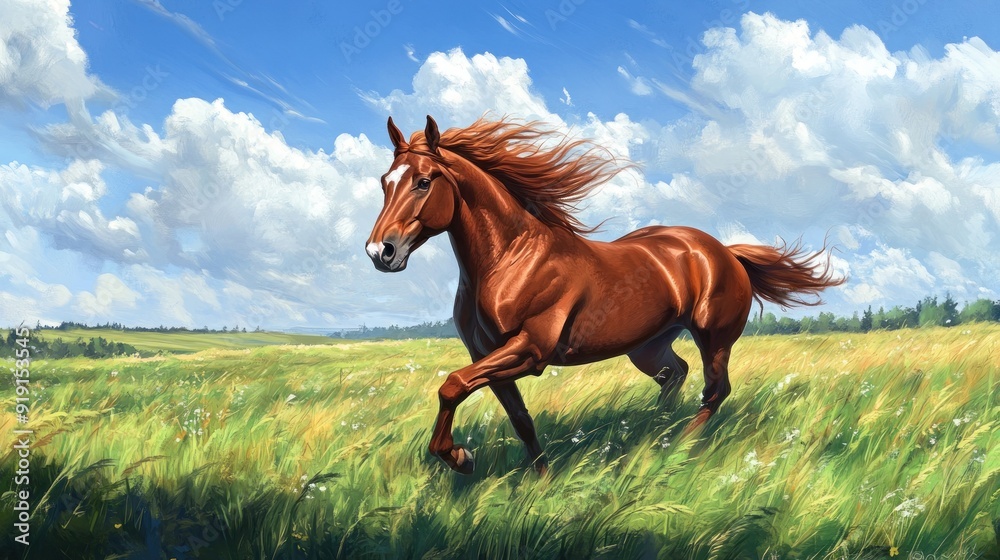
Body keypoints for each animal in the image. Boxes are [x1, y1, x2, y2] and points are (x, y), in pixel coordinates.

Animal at [365, 115, 844, 475]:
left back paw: (678, 449)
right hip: (648, 347)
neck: (511, 259)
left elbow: (452, 385)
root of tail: (724, 251)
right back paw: (654, 434)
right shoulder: (488, 357)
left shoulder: (529, 351)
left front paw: (461, 458)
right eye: (385, 182)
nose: (380, 252)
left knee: (714, 391)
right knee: (676, 375)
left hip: (714, 338)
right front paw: (538, 482)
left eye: (424, 181)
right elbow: (518, 419)